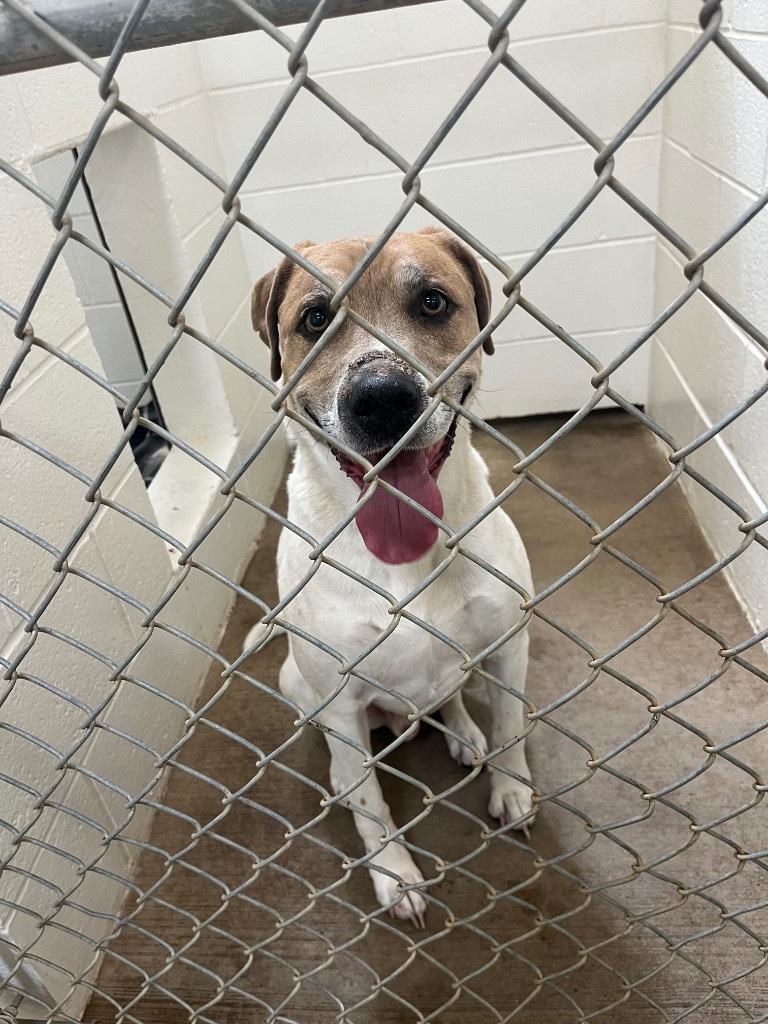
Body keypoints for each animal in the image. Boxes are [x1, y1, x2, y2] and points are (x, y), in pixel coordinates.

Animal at [246, 230, 536, 929]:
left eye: (432, 302)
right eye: (314, 319)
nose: (381, 398)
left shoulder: (509, 648)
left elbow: (512, 728)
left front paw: (512, 788)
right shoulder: (339, 697)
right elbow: (372, 804)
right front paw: (395, 875)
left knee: (450, 699)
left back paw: (463, 734)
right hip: (298, 683)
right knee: (346, 762)